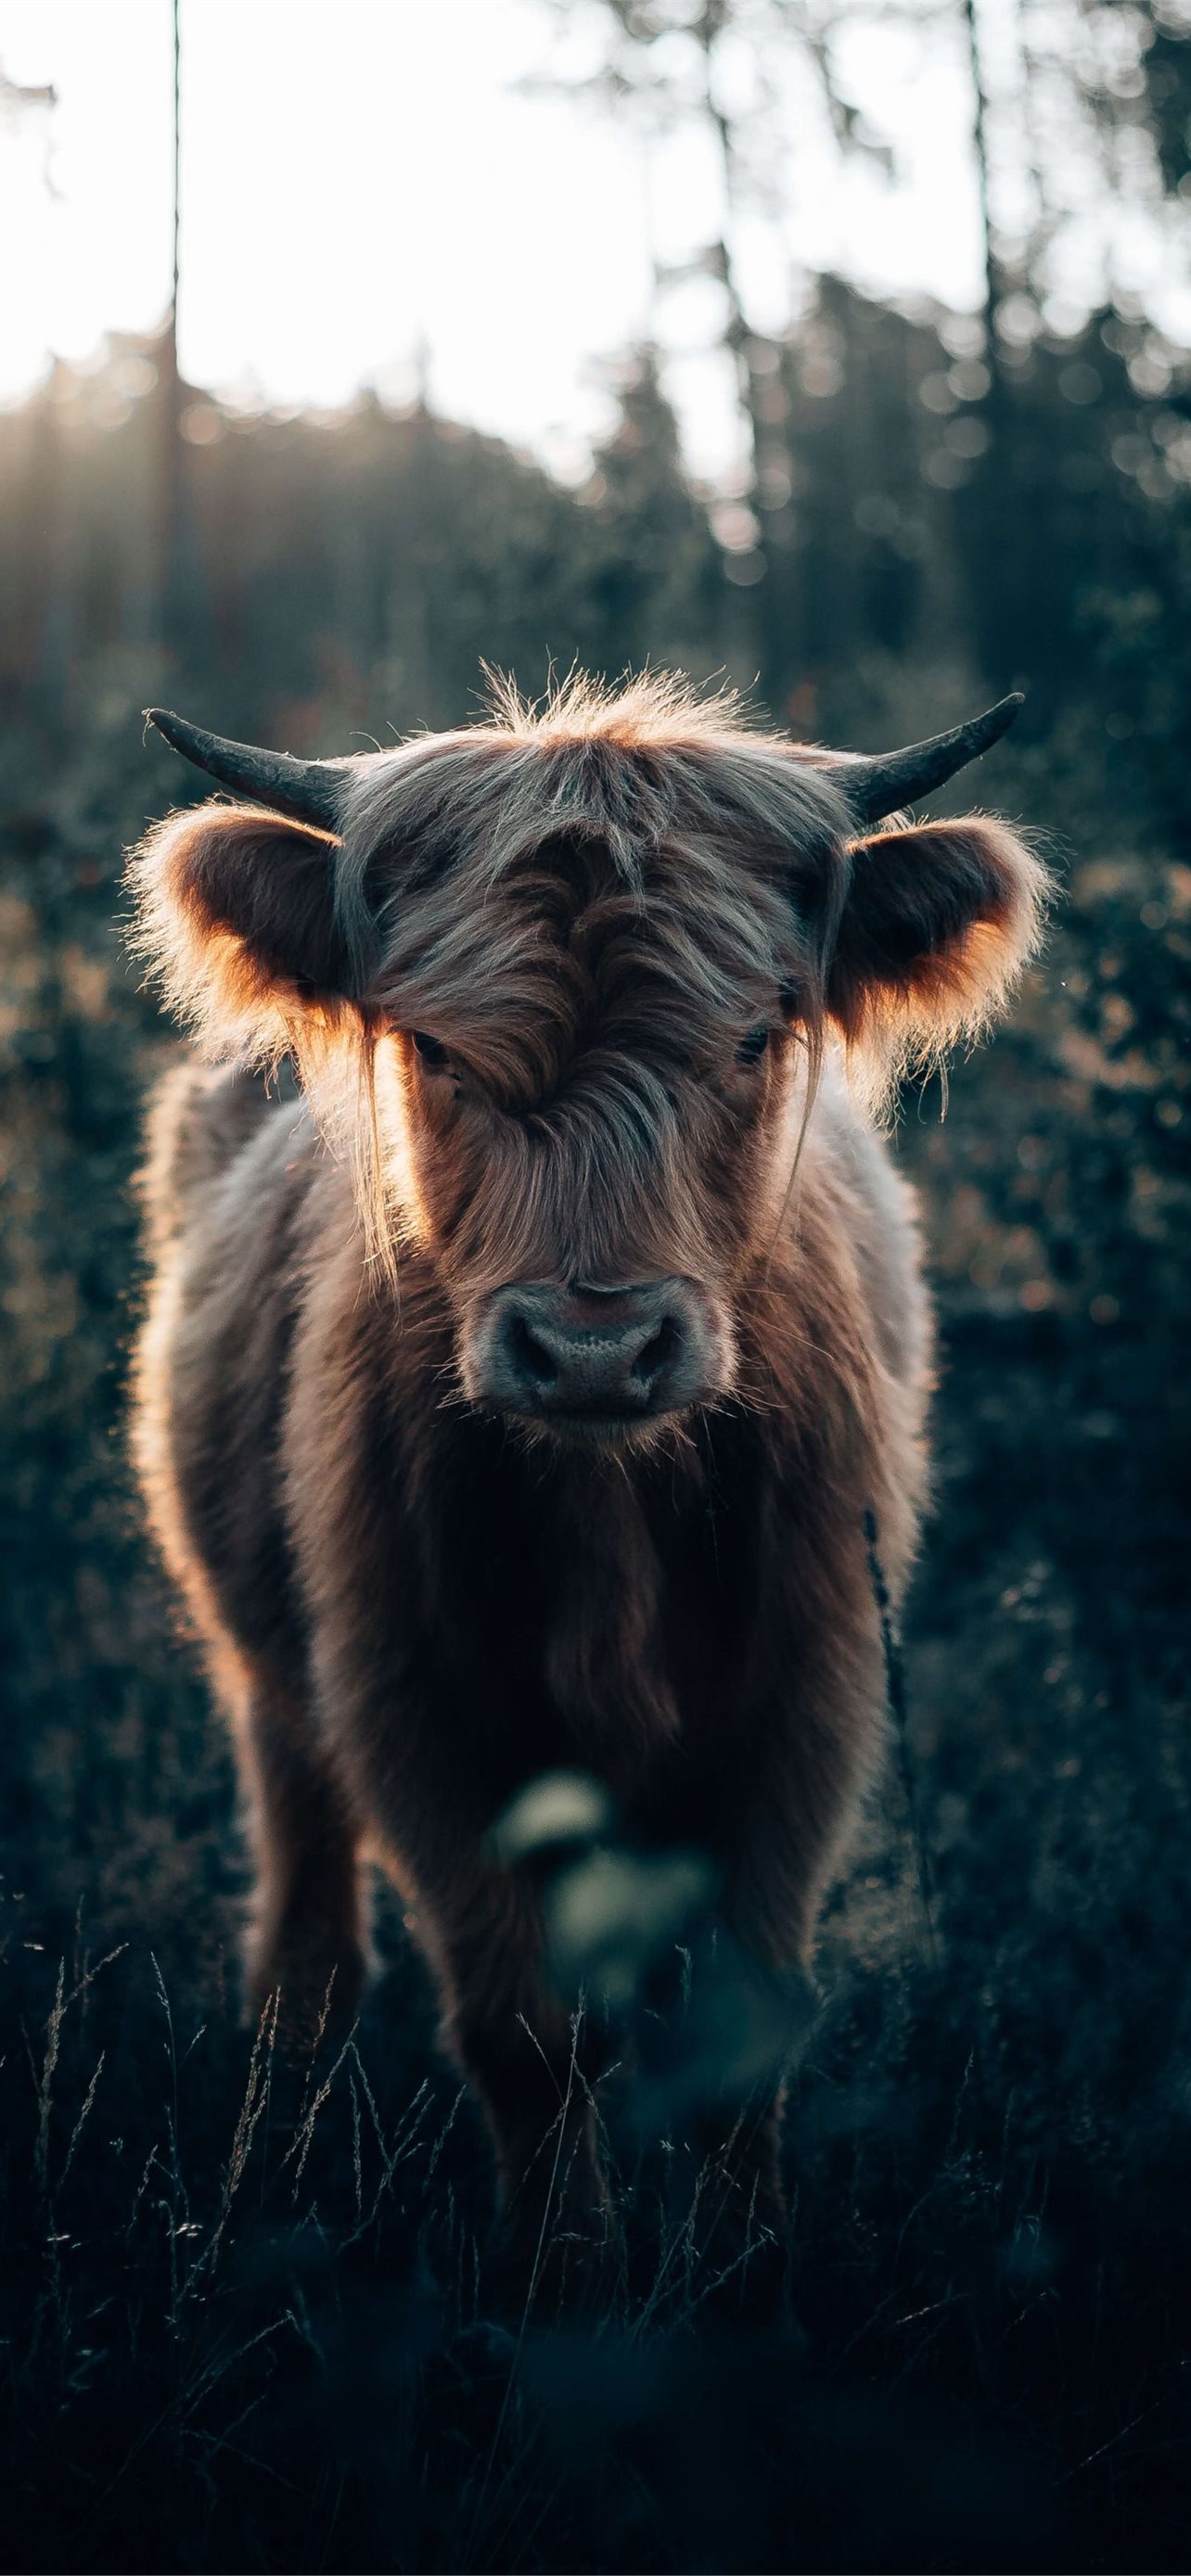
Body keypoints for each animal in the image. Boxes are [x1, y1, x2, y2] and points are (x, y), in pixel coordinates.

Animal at [129, 672, 1045, 2314]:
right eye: (432, 1052)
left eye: (754, 1040)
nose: (597, 1345)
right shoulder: (414, 1700)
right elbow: (525, 2036)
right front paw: (566, 2285)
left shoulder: (809, 1692)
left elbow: (739, 2023)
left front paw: (745, 2281)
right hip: (267, 1673)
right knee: (307, 1921)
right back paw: (273, 2149)